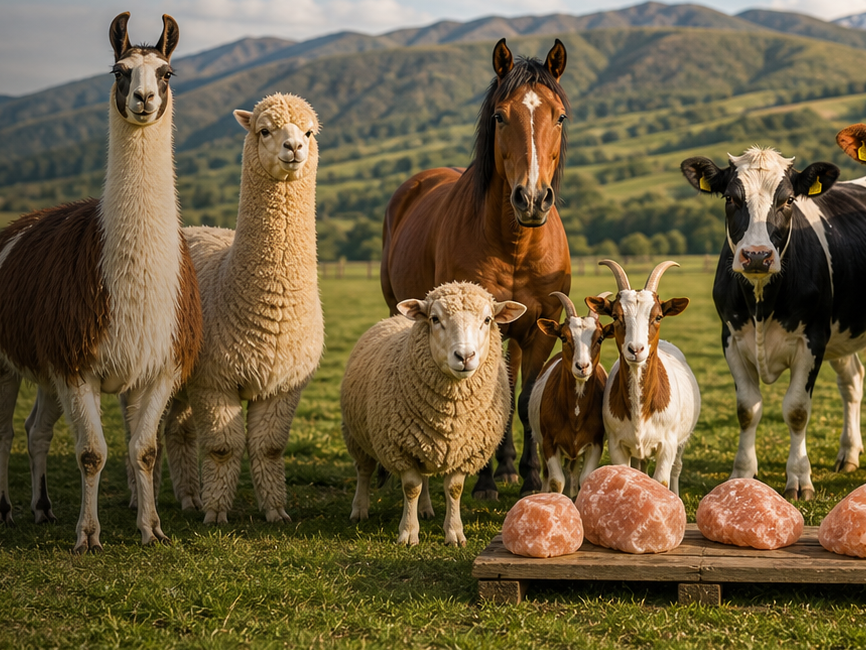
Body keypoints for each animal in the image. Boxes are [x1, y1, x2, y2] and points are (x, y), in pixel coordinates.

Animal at [341, 282, 526, 546]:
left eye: (488, 319)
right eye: (435, 319)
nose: (464, 357)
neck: (450, 415)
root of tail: (396, 318)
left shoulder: (464, 451)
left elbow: (454, 490)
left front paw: (454, 533)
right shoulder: (400, 448)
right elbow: (411, 488)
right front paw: (408, 534)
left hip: (424, 441)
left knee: (425, 477)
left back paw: (426, 510)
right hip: (356, 435)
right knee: (363, 471)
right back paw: (359, 510)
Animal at [528, 291, 610, 497]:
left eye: (600, 339)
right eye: (564, 338)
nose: (582, 366)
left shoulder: (595, 443)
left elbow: (584, 477)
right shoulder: (549, 442)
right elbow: (556, 480)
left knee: (573, 470)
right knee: (547, 474)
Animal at [586, 260, 700, 495]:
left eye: (658, 317)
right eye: (616, 316)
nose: (636, 349)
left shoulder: (668, 445)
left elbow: (662, 481)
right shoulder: (617, 445)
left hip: (682, 440)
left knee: (677, 468)